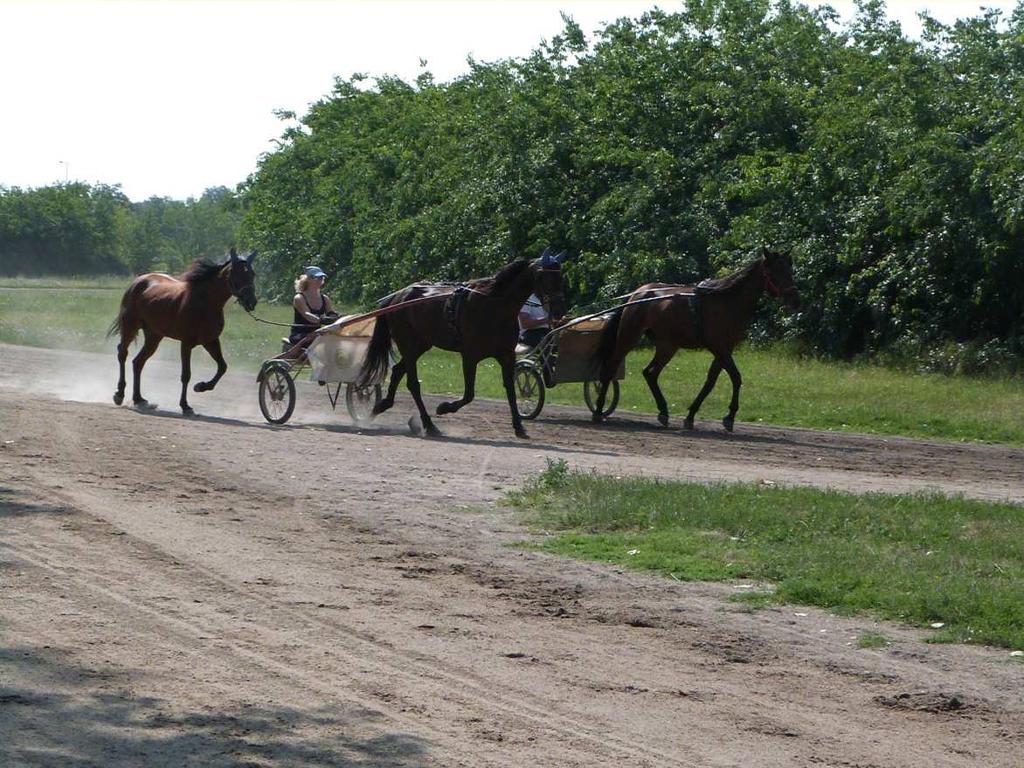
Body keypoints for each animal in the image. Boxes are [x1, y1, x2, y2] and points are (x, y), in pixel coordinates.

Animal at [108, 249, 258, 415]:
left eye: (252, 274)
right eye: (236, 273)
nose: (251, 301)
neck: (205, 302)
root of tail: (139, 281)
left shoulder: (210, 341)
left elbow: (222, 367)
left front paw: (201, 386)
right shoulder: (186, 344)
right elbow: (186, 375)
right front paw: (185, 405)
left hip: (154, 336)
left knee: (138, 362)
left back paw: (139, 399)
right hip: (130, 326)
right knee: (122, 353)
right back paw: (119, 394)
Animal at [358, 249, 569, 436]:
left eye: (561, 278)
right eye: (544, 277)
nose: (559, 311)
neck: (494, 307)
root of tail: (396, 297)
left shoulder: (506, 355)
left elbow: (510, 389)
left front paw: (519, 426)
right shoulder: (470, 355)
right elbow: (469, 394)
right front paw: (444, 407)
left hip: (420, 344)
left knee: (397, 371)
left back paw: (382, 406)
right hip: (408, 343)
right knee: (412, 384)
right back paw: (429, 425)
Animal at [593, 247, 798, 434]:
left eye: (789, 269)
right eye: (776, 270)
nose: (795, 298)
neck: (727, 301)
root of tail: (636, 294)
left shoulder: (725, 349)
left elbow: (711, 381)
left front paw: (691, 416)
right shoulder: (718, 347)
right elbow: (736, 377)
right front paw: (730, 416)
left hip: (668, 345)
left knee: (650, 373)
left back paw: (663, 412)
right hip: (630, 334)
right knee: (612, 367)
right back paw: (598, 410)